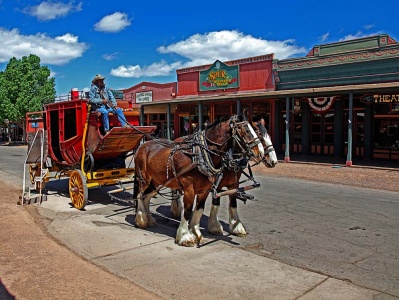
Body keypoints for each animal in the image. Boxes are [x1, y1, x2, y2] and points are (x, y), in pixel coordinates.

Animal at [134, 115, 264, 246]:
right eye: (246, 131)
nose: (261, 152)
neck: (199, 156)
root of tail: (142, 146)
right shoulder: (190, 189)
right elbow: (187, 211)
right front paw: (185, 236)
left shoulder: (208, 189)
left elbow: (200, 209)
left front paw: (196, 233)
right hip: (144, 179)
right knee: (140, 195)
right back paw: (141, 219)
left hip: (155, 181)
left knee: (146, 197)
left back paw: (149, 220)